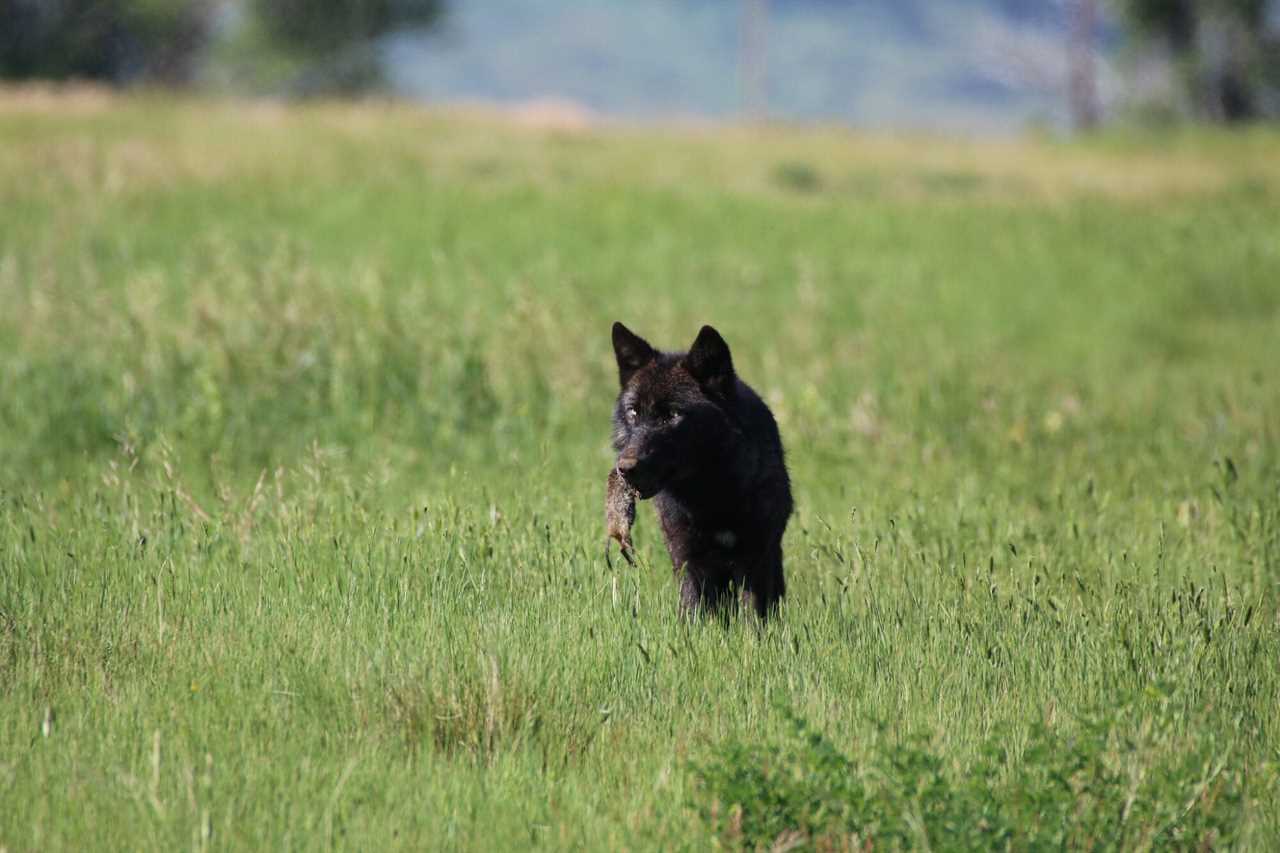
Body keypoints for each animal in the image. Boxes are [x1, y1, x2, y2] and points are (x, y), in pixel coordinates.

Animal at [606, 320, 788, 617]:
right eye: (633, 412)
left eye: (672, 415)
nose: (625, 468)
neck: (709, 494)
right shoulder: (687, 558)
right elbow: (695, 612)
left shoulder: (755, 557)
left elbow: (754, 615)